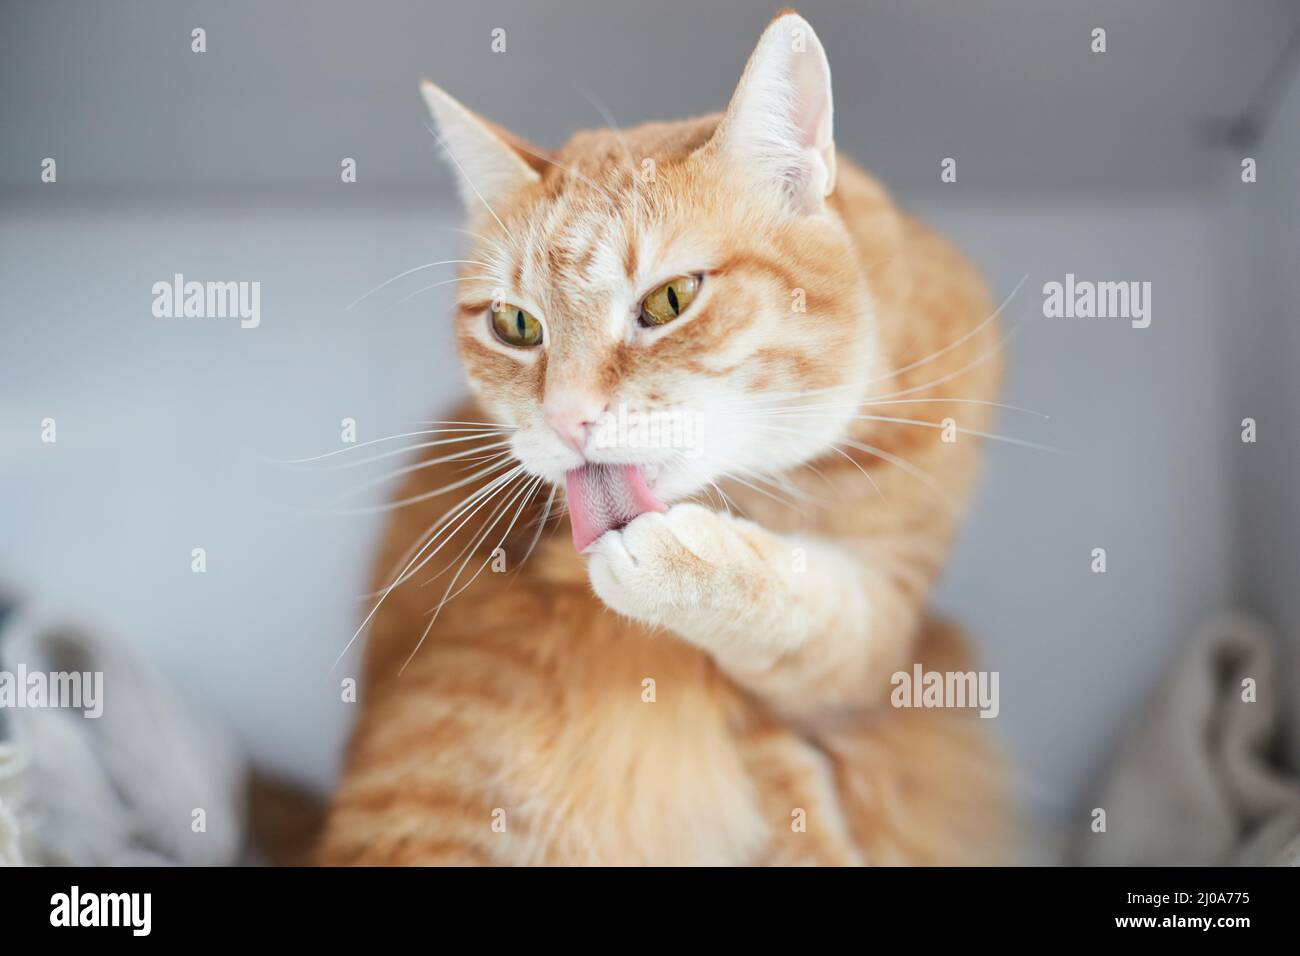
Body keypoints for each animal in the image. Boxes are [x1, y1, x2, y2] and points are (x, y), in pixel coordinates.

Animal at [319, 11, 1008, 868]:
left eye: (670, 300)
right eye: (516, 324)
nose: (566, 418)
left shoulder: (886, 624)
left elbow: (820, 620)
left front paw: (687, 561)